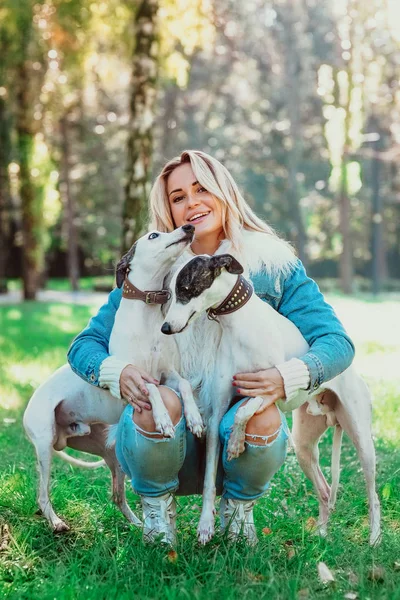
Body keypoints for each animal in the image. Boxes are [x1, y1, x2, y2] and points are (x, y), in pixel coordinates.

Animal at [23, 227, 202, 532]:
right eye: (154, 235)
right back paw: (56, 522)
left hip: (111, 455)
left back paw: (139, 525)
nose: (188, 227)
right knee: (42, 495)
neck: (147, 318)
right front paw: (163, 419)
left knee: (117, 496)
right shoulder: (134, 377)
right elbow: (153, 390)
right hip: (44, 445)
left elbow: (185, 385)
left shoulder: (168, 374)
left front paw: (194, 418)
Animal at [160, 251, 382, 548]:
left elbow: (243, 412)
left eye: (185, 289)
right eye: (170, 293)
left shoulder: (270, 389)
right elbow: (208, 480)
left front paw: (235, 443)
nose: (165, 328)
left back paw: (374, 537)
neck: (239, 324)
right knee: (324, 490)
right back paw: (321, 534)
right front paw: (206, 524)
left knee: (373, 494)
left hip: (362, 440)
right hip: (303, 447)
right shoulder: (217, 412)